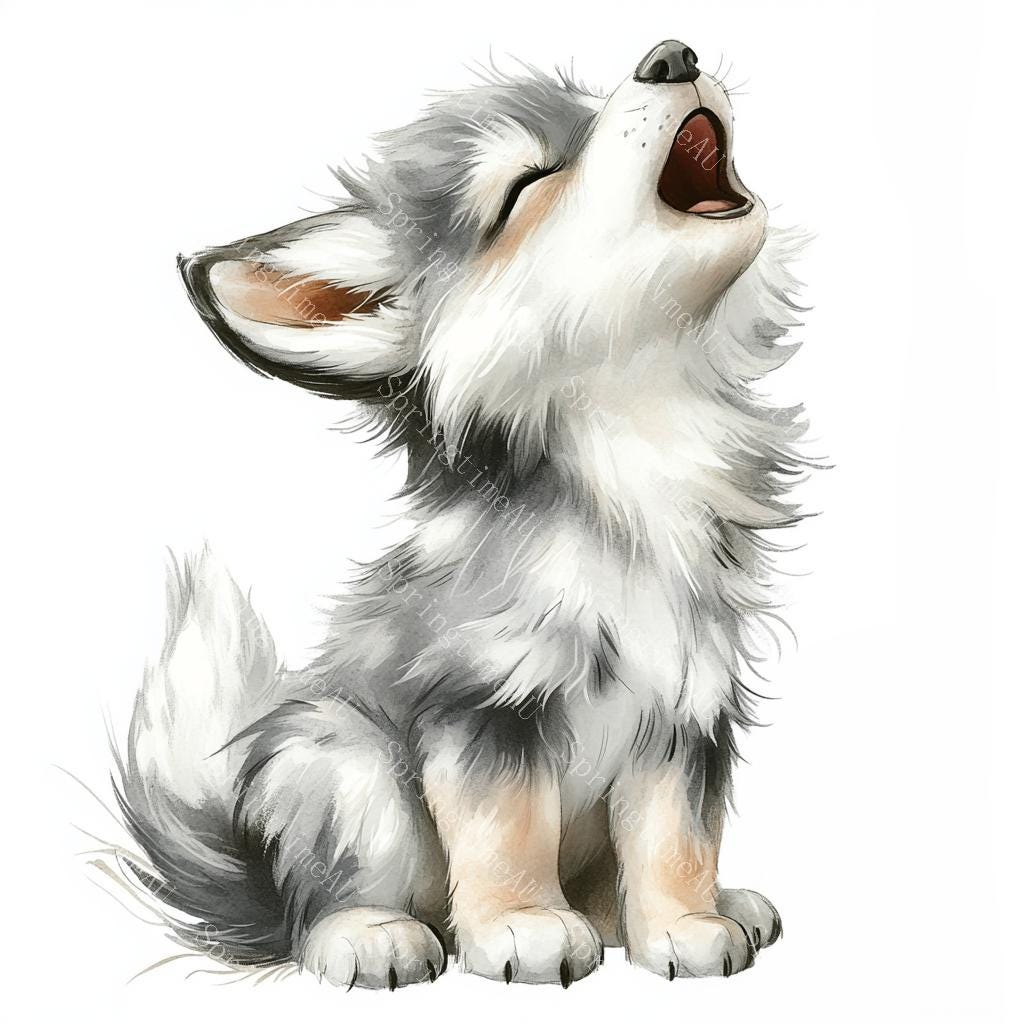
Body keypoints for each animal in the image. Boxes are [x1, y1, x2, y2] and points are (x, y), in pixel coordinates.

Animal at [113, 39, 809, 989]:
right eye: (525, 185)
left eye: (589, 111)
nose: (672, 55)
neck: (639, 444)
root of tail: (251, 881)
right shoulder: (483, 704)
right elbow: (507, 830)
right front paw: (523, 926)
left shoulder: (685, 709)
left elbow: (677, 838)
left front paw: (684, 926)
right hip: (340, 760)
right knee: (320, 906)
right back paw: (371, 935)